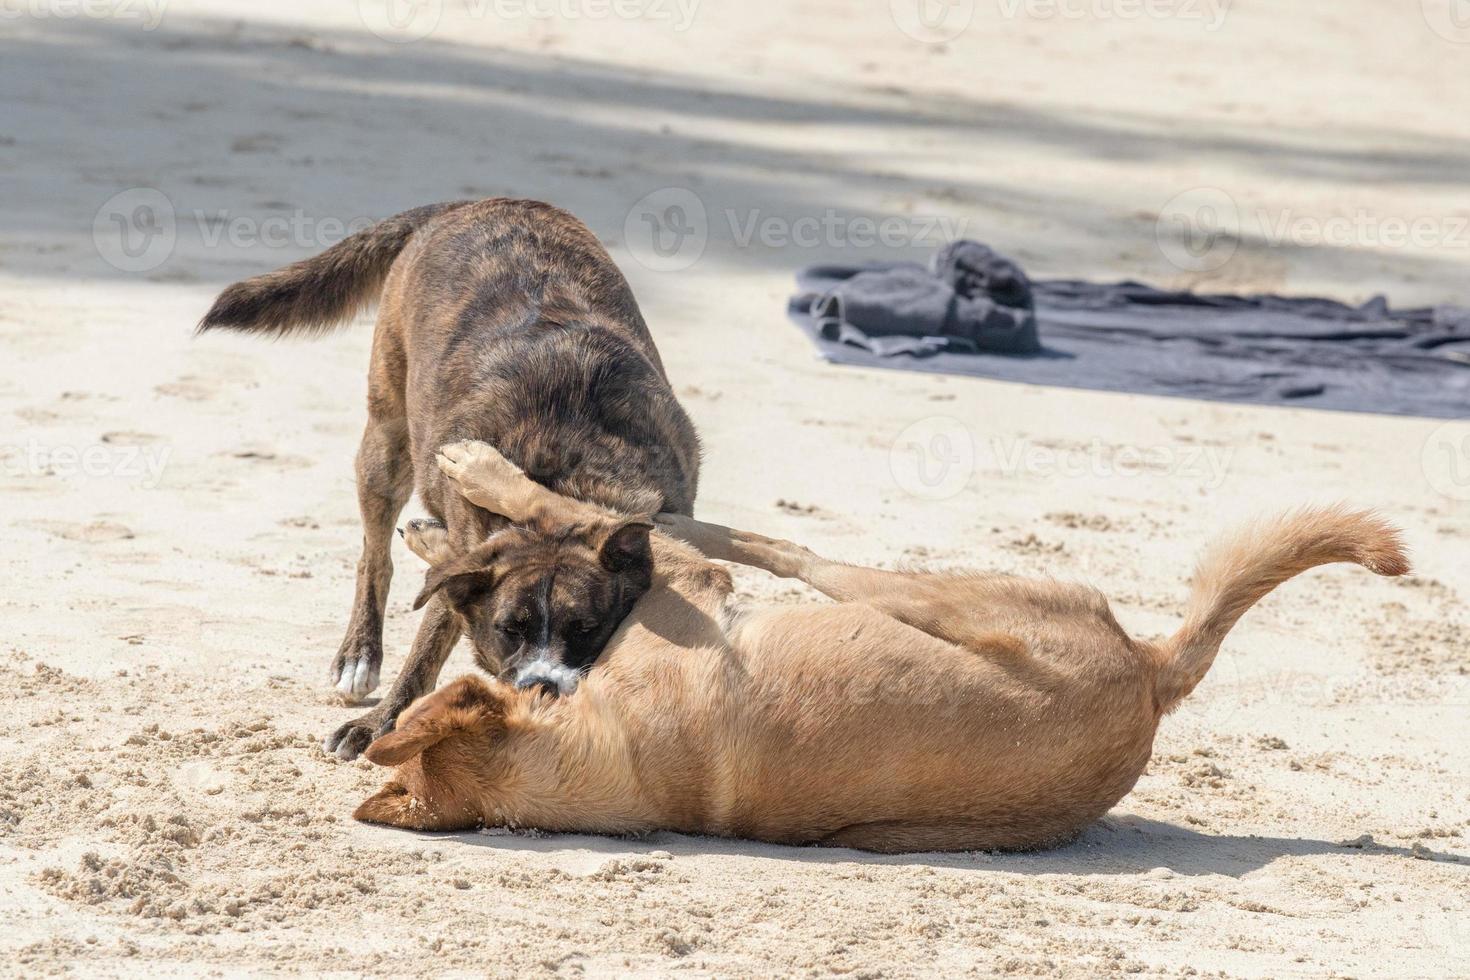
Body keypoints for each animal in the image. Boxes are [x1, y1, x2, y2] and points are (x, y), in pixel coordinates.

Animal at [199, 199, 699, 764]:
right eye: (509, 630)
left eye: (586, 629)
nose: (541, 687)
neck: (560, 491)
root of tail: (476, 203)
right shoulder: (467, 559)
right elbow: (426, 647)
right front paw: (379, 723)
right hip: (385, 445)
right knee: (373, 557)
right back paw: (359, 653)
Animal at [358, 440, 1411, 852]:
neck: (601, 749)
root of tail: (1154, 676)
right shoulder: (681, 594)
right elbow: (595, 523)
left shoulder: (673, 596)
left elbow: (578, 518)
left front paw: (467, 505)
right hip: (900, 588)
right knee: (762, 542)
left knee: (707, 530)